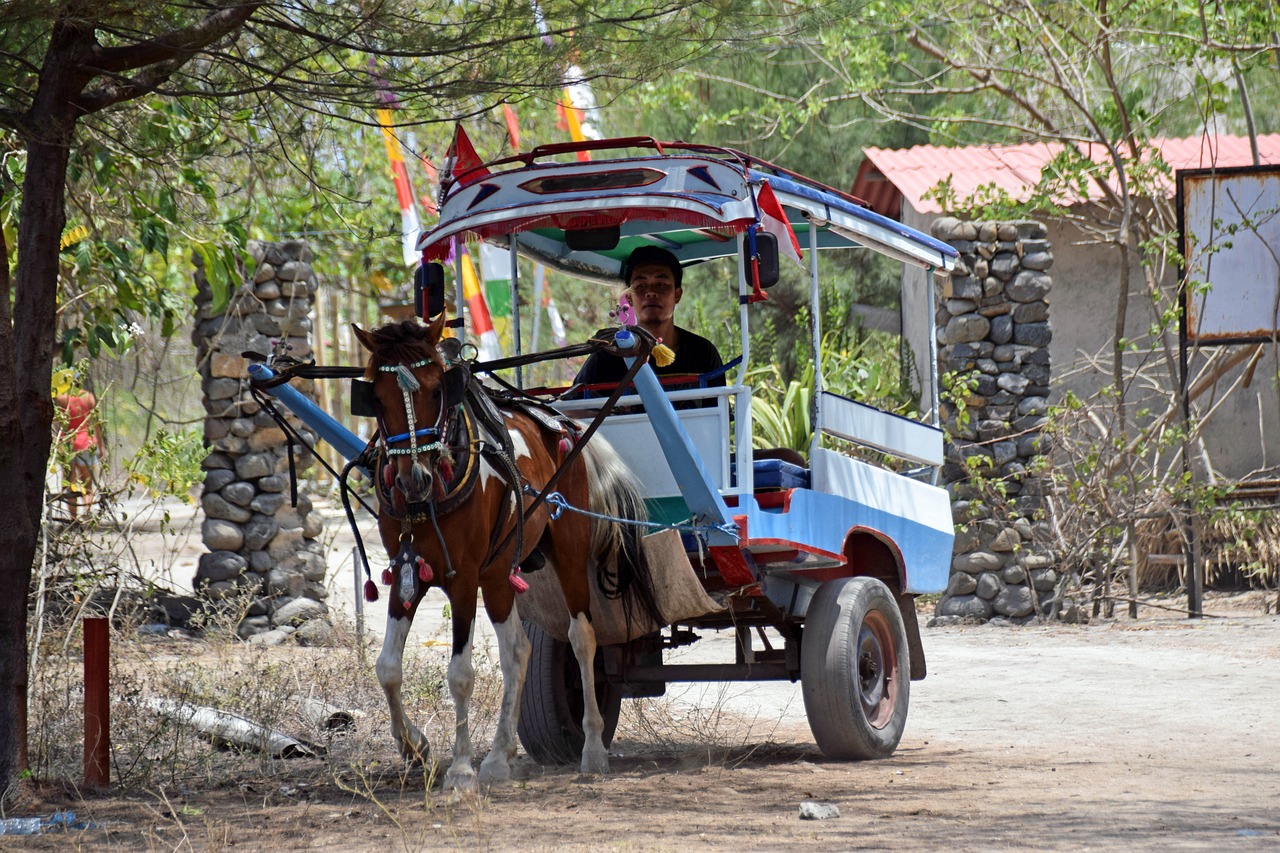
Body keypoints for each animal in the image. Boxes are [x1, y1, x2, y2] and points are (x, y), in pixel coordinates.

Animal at [350, 315, 660, 788]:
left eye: (437, 390)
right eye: (378, 400)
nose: (414, 479)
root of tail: (563, 421)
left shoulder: (462, 579)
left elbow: (460, 674)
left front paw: (460, 768)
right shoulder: (408, 570)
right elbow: (387, 667)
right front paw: (414, 746)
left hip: (567, 550)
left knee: (581, 637)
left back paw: (591, 748)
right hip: (498, 574)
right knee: (517, 651)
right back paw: (499, 757)